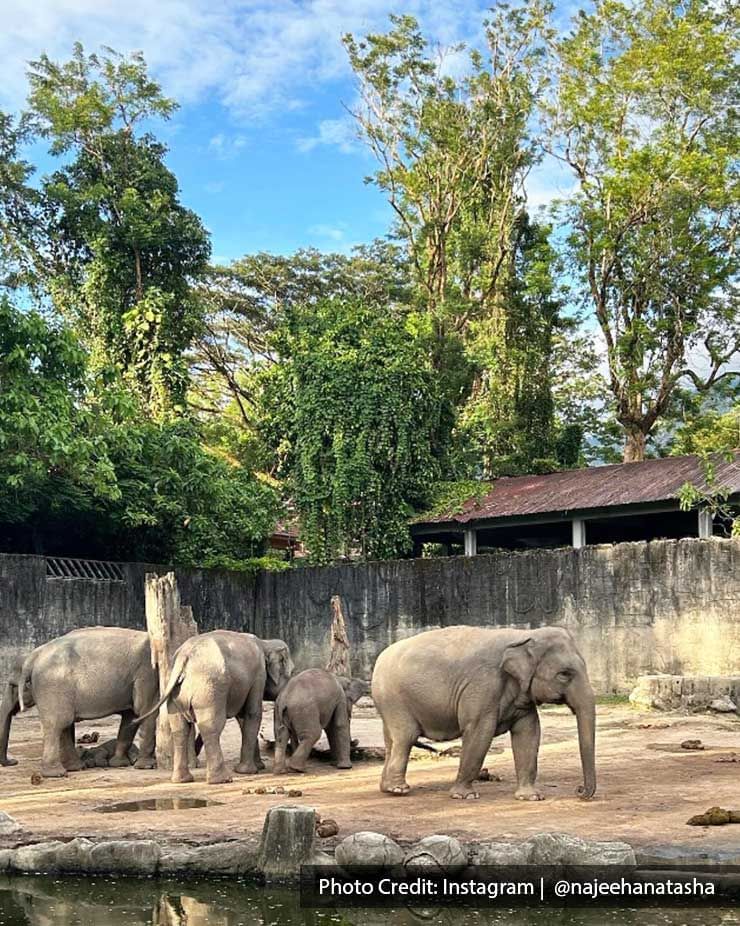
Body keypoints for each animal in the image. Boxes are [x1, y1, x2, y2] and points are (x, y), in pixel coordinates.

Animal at [1, 628, 159, 780]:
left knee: (60, 724)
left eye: (13, 686)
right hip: (55, 686)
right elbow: (143, 712)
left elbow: (135, 715)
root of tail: (34, 656)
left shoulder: (147, 674)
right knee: (58, 723)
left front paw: (124, 764)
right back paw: (60, 773)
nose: (13, 761)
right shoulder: (147, 674)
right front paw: (143, 766)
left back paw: (67, 770)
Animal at [372, 628, 600, 800]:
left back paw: (386, 788)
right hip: (394, 698)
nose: (579, 790)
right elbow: (479, 732)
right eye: (564, 674)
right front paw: (464, 796)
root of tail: (380, 658)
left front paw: (531, 797)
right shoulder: (483, 686)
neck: (523, 636)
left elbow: (529, 733)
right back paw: (398, 790)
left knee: (391, 741)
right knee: (406, 737)